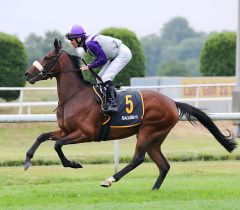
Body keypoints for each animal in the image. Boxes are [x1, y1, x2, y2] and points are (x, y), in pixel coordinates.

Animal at [23, 38, 237, 189]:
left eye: (47, 57)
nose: (27, 74)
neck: (75, 96)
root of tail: (171, 101)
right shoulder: (66, 130)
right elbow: (42, 136)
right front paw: (27, 161)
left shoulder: (86, 134)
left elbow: (58, 145)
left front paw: (73, 164)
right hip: (156, 138)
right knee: (163, 165)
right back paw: (153, 190)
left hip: (148, 131)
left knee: (137, 159)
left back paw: (109, 179)